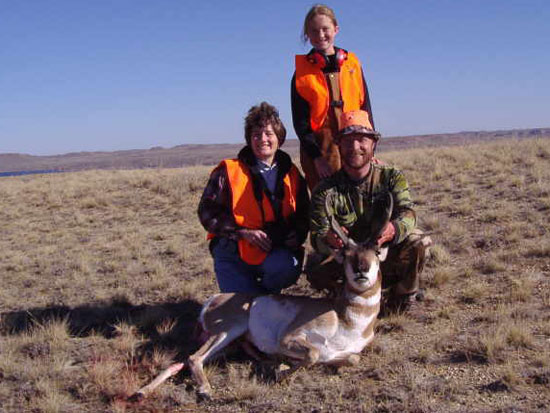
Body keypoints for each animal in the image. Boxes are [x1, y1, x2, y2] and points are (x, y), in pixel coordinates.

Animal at [132, 192, 394, 400]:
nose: (361, 270)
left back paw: (141, 393)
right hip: (229, 329)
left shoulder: (342, 352)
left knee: (181, 361)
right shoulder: (290, 338)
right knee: (194, 359)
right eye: (346, 254)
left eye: (376, 251)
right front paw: (281, 370)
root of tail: (213, 300)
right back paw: (205, 390)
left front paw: (281, 365)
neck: (345, 319)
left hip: (227, 343)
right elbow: (313, 353)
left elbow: (351, 359)